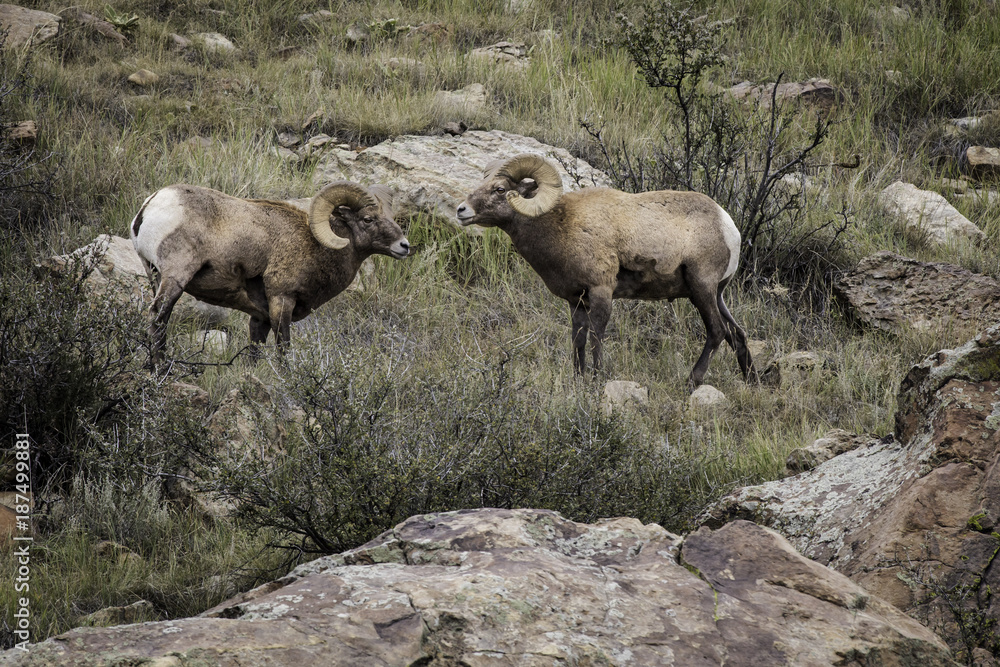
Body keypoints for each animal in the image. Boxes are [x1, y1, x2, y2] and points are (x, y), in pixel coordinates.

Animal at [130, 180, 410, 366]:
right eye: (367, 220)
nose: (404, 246)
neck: (315, 248)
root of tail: (151, 204)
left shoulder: (259, 318)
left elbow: (255, 353)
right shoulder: (281, 301)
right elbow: (283, 348)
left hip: (155, 275)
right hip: (175, 277)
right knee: (158, 316)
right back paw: (161, 368)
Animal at [456, 153, 755, 389]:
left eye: (500, 189)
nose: (461, 210)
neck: (561, 228)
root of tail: (728, 227)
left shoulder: (601, 292)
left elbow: (596, 337)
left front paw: (597, 379)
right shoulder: (576, 301)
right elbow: (578, 340)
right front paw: (578, 380)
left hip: (701, 289)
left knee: (717, 331)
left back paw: (692, 381)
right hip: (714, 293)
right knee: (737, 334)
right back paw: (752, 381)